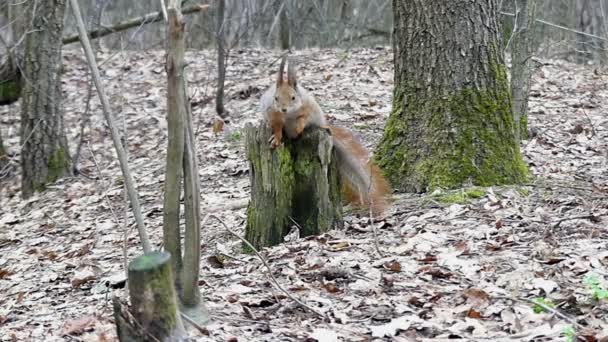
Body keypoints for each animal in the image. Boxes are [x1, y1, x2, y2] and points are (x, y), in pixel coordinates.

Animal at [258, 55, 388, 214]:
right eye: (276, 98)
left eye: (293, 97)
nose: (283, 109)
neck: (289, 115)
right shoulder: (272, 113)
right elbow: (276, 127)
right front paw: (276, 138)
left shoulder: (308, 107)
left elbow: (303, 118)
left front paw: (298, 127)